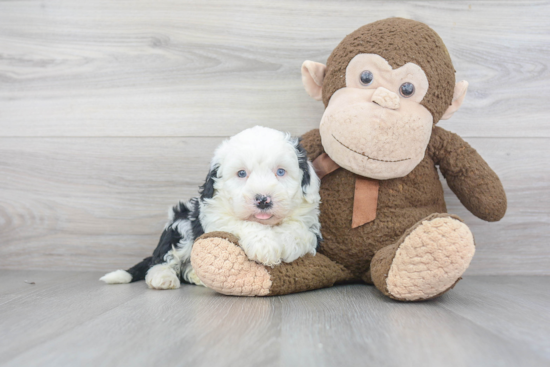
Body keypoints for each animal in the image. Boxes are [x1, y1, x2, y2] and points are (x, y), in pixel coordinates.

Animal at [101, 126, 322, 290]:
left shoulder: (310, 225)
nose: (263, 200)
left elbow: (297, 231)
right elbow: (242, 223)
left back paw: (196, 276)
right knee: (162, 259)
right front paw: (264, 245)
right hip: (181, 225)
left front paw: (284, 246)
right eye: (241, 173)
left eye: (281, 172)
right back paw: (163, 278)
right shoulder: (214, 216)